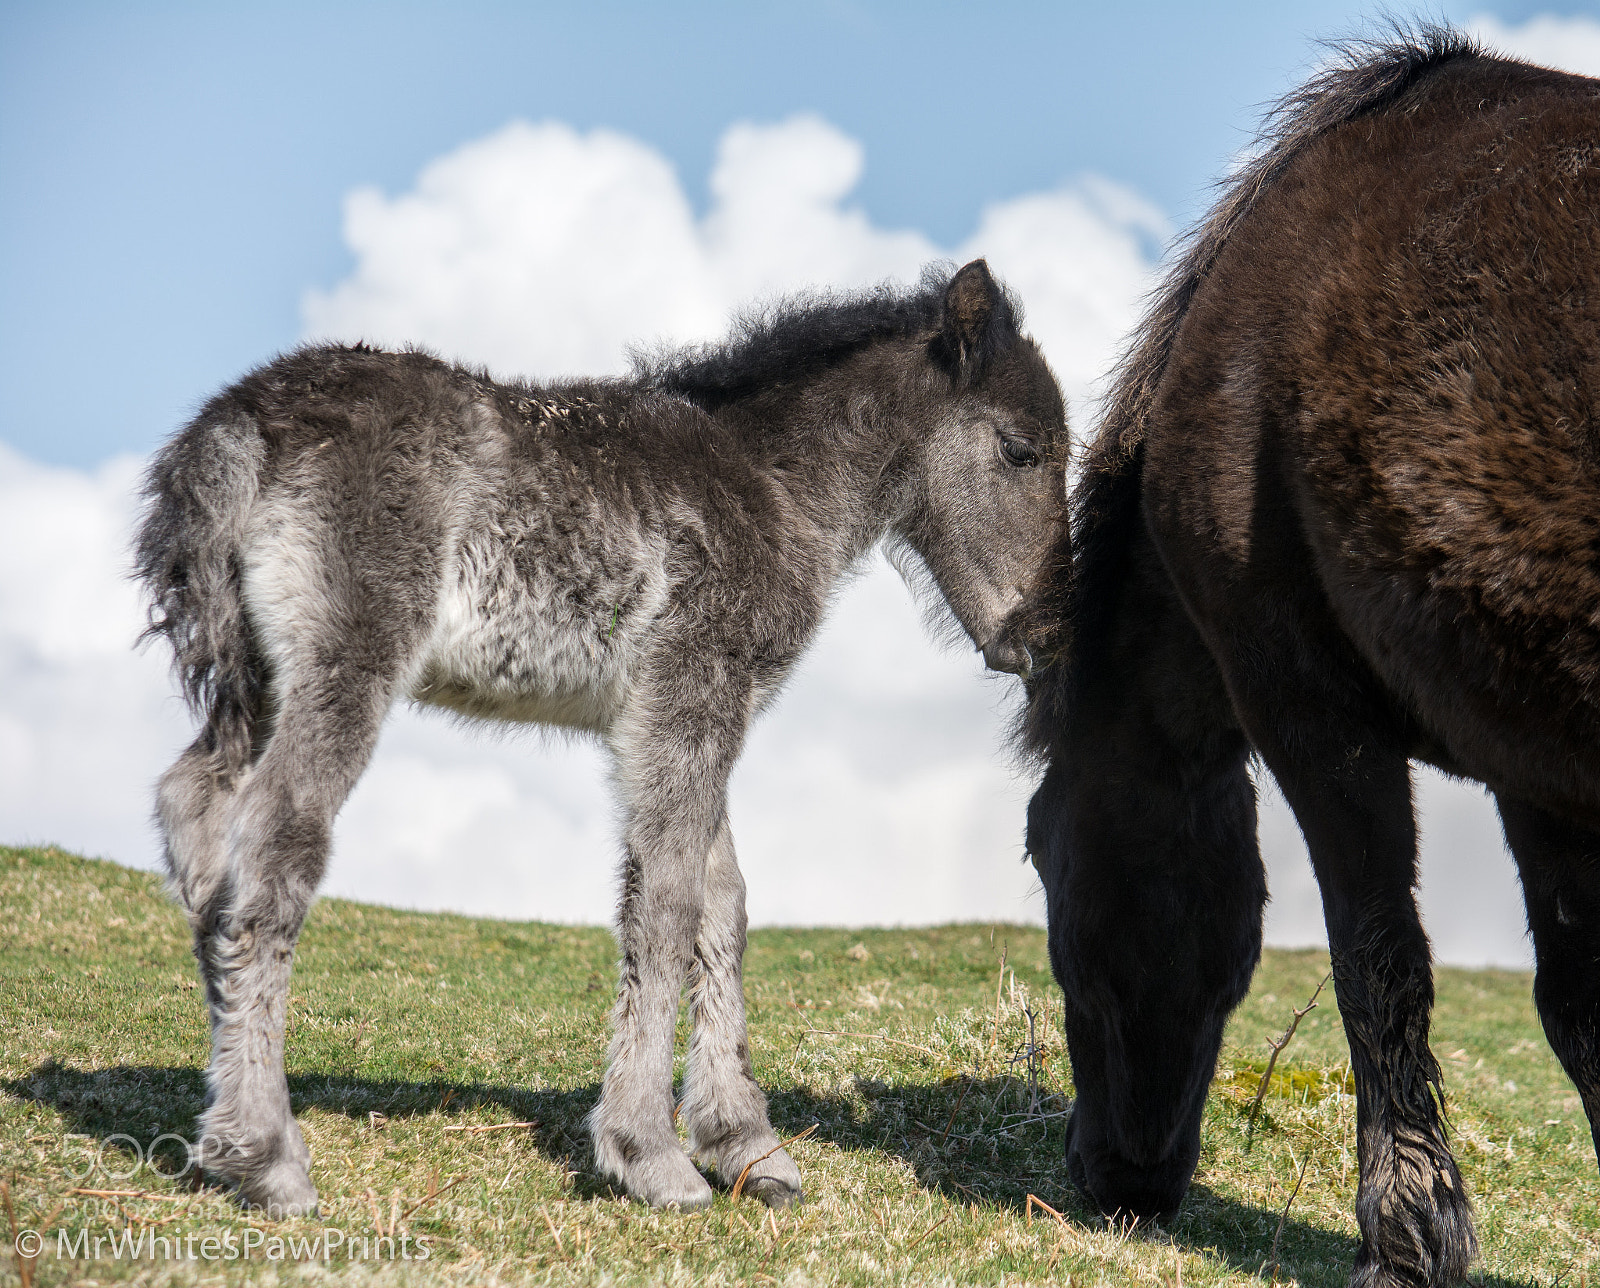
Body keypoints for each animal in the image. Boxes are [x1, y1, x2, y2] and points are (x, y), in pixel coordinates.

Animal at [135, 259, 1067, 1217]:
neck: (774, 488)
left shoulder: (691, 713)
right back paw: (266, 1155)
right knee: (279, 837)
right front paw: (651, 1153)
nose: (1045, 636)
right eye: (1023, 450)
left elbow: (722, 904)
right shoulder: (689, 698)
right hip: (347, 660)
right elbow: (666, 903)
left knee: (194, 806)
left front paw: (745, 1144)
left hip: (257, 678)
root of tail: (237, 425)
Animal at [1016, 30, 1600, 1288]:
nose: (1115, 1176)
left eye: (1042, 857)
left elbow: (1376, 958)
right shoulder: (1533, 768)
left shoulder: (1304, 706)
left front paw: (1406, 1237)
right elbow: (1578, 1000)